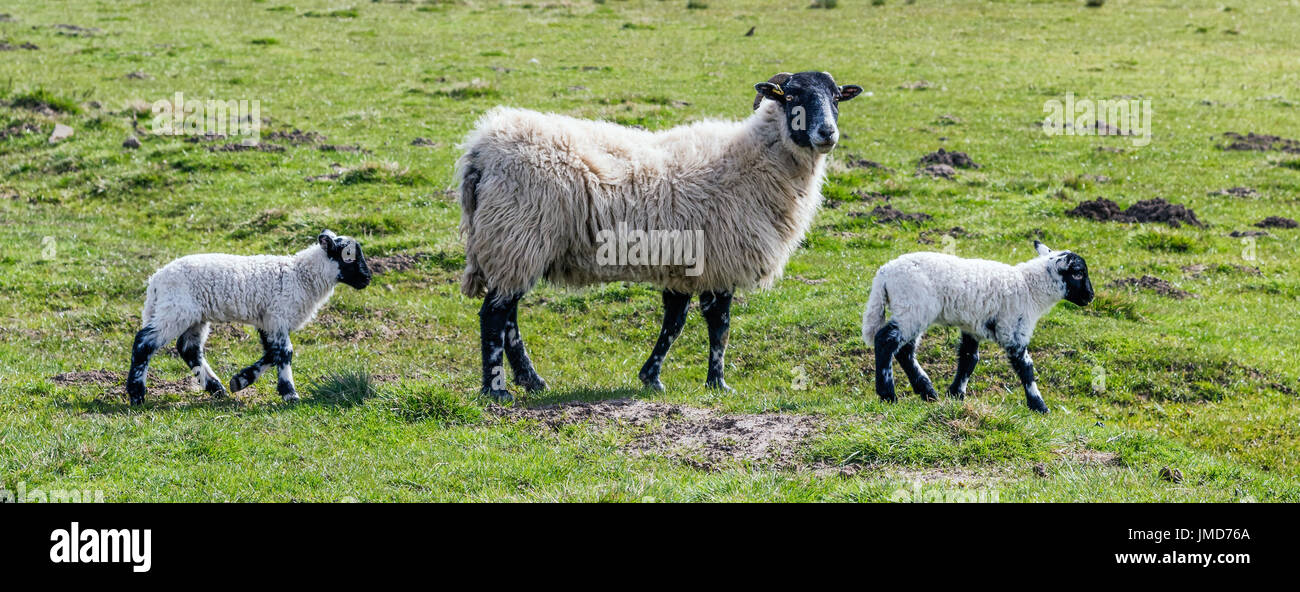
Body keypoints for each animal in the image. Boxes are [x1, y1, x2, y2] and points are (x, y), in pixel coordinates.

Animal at [125, 230, 372, 406]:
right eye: (348, 255)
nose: (367, 279)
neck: (301, 276)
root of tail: (155, 282)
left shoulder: (267, 322)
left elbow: (271, 354)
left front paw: (240, 380)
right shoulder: (278, 316)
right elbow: (284, 353)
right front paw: (290, 394)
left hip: (194, 316)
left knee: (189, 349)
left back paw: (217, 389)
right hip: (175, 310)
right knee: (144, 343)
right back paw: (137, 395)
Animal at [456, 71, 864, 401]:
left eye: (836, 97)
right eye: (792, 97)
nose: (827, 134)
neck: (756, 160)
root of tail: (481, 149)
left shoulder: (685, 264)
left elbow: (675, 322)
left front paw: (651, 377)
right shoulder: (721, 259)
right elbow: (719, 325)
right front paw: (717, 383)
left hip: (516, 244)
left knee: (509, 316)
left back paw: (532, 381)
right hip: (516, 236)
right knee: (494, 314)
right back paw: (496, 390)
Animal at [861, 241, 1094, 413]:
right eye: (1078, 273)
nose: (1090, 297)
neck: (1030, 287)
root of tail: (883, 274)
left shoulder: (972, 327)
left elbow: (968, 360)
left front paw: (955, 395)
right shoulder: (1013, 329)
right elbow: (1025, 367)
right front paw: (1039, 406)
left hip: (911, 312)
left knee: (905, 351)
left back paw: (927, 392)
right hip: (912, 309)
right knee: (885, 341)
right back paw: (888, 394)